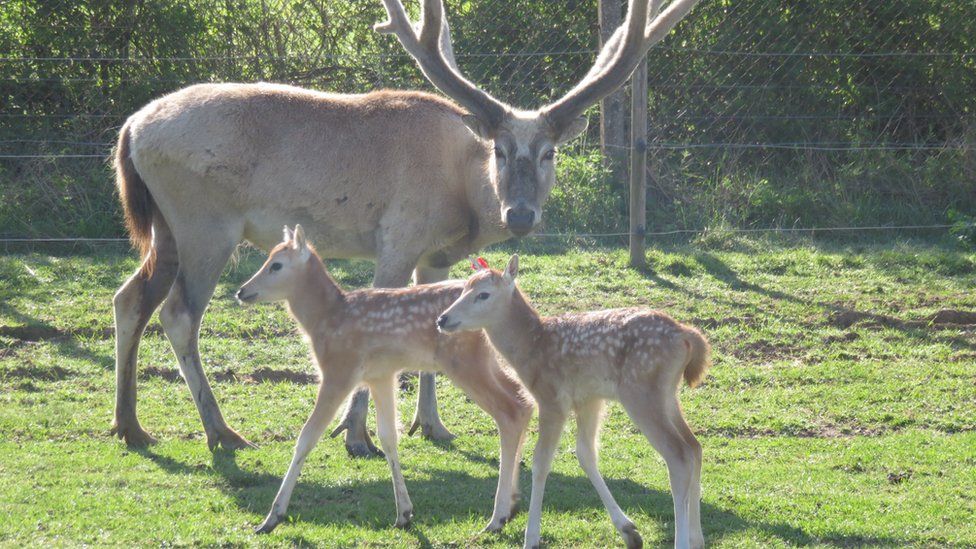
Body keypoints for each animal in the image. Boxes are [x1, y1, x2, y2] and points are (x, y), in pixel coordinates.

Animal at [110, 0, 696, 454]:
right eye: (501, 151)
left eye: (549, 153)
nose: (520, 215)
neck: (462, 197)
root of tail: (130, 127)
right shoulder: (398, 237)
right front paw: (356, 435)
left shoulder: (434, 256)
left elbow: (435, 326)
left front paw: (431, 425)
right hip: (205, 223)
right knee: (178, 313)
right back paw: (220, 431)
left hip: (164, 228)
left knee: (129, 298)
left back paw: (129, 425)